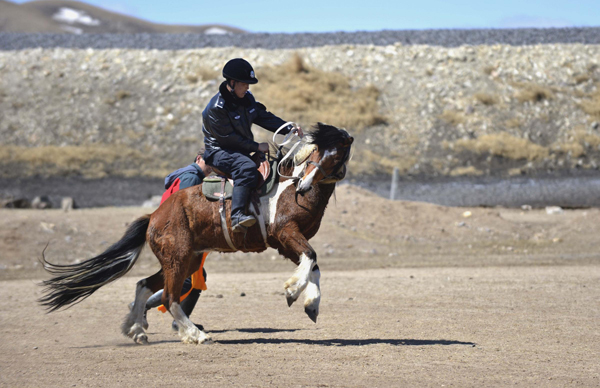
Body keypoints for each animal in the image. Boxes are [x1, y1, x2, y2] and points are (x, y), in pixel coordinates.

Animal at [39, 123, 354, 344]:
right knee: (169, 297)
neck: (291, 192)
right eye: (316, 152)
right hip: (177, 259)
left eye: (337, 154)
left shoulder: (285, 243)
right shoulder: (286, 233)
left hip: (184, 259)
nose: (303, 184)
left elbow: (313, 265)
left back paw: (137, 329)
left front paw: (311, 304)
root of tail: (155, 216)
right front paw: (292, 291)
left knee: (145, 285)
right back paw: (194, 334)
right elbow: (311, 258)